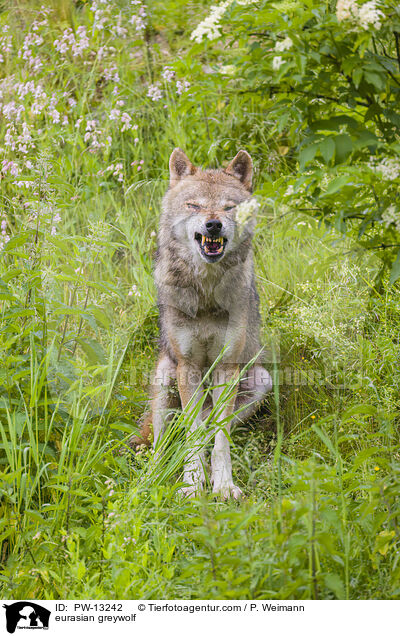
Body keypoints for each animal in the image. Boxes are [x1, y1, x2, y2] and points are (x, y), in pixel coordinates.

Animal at [134, 148, 272, 496]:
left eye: (228, 207)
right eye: (194, 205)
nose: (213, 224)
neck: (207, 293)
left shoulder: (226, 367)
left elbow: (219, 439)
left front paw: (223, 486)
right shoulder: (188, 367)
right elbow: (193, 434)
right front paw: (192, 486)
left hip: (260, 380)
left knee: (210, 427)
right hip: (164, 375)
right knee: (163, 443)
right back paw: (154, 479)